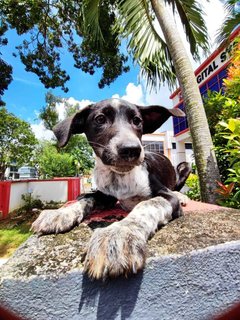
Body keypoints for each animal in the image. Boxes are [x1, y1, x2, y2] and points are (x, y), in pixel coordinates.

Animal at [31, 99, 191, 278]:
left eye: (137, 120)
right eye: (100, 119)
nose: (131, 149)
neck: (120, 177)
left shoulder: (166, 196)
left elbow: (147, 204)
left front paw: (119, 234)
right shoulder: (106, 195)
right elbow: (89, 198)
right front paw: (61, 213)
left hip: (185, 165)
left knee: (176, 188)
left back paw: (182, 196)